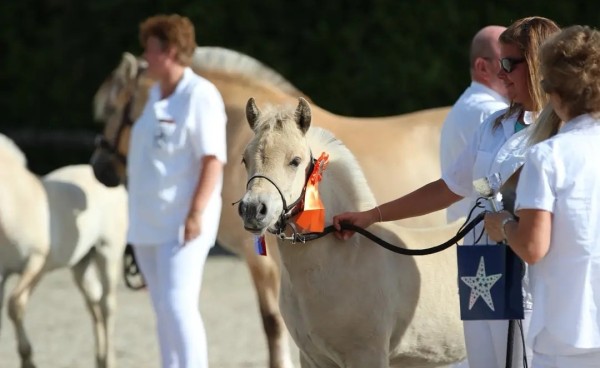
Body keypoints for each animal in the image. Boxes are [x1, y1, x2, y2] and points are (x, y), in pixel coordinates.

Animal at [0, 133, 126, 368]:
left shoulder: (36, 263)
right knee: (93, 302)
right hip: (81, 264)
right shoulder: (2, 273)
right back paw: (99, 358)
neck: (14, 207)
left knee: (107, 305)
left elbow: (15, 306)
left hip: (108, 253)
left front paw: (28, 360)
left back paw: (109, 360)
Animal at [238, 98, 464, 368]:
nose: (253, 209)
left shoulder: (368, 355)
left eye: (295, 160)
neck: (345, 258)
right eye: (245, 159)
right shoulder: (312, 358)